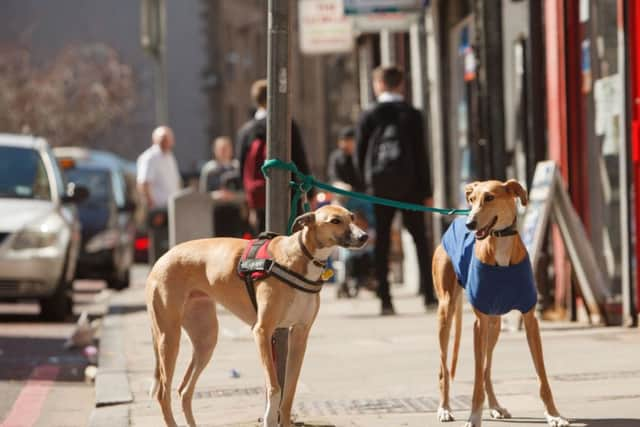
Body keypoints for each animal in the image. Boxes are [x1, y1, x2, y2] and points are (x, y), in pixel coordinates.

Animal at [144, 204, 364, 427]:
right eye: (335, 220)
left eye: (352, 217)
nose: (364, 236)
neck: (300, 257)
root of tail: (162, 258)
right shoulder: (262, 331)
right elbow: (274, 388)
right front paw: (269, 418)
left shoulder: (299, 335)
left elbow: (289, 392)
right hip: (169, 338)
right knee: (163, 393)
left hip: (205, 339)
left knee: (184, 390)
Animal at [432, 179, 568, 426]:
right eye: (472, 199)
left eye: (489, 198)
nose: (470, 224)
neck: (501, 243)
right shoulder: (479, 324)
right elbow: (475, 378)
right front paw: (474, 417)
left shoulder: (530, 319)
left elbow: (541, 374)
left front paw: (553, 414)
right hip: (446, 312)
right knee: (445, 368)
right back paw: (444, 408)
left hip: (494, 325)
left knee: (487, 368)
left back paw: (495, 406)